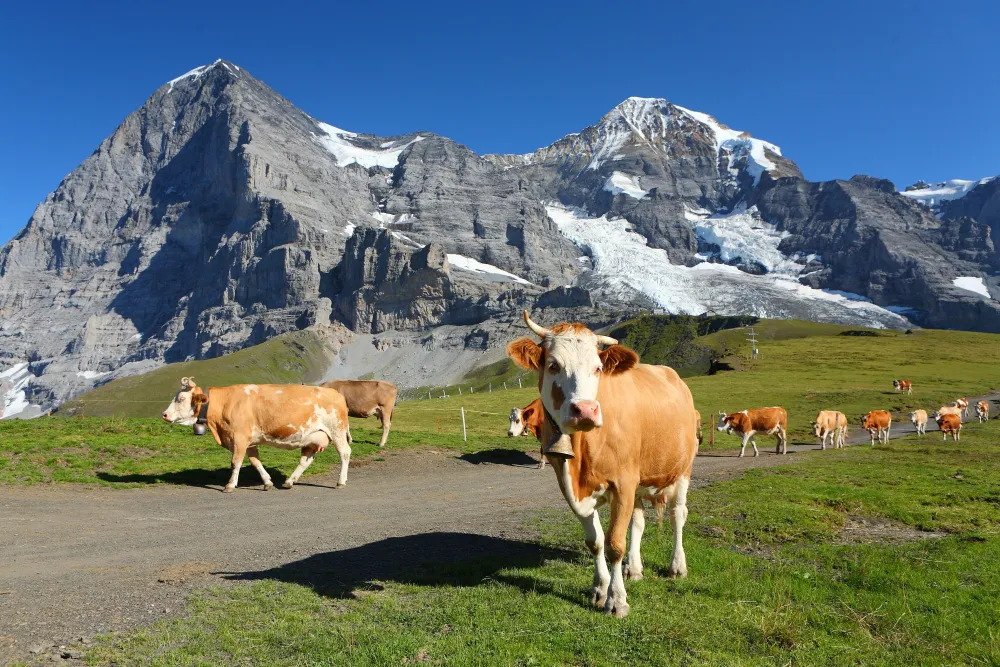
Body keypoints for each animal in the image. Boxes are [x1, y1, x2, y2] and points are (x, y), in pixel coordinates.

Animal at [508, 310, 696, 620]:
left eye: (597, 368)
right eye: (553, 365)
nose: (585, 409)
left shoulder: (623, 483)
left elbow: (614, 544)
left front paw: (616, 600)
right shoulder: (571, 486)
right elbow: (596, 541)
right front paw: (599, 589)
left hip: (682, 469)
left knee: (677, 515)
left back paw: (677, 566)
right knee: (639, 521)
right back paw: (634, 567)